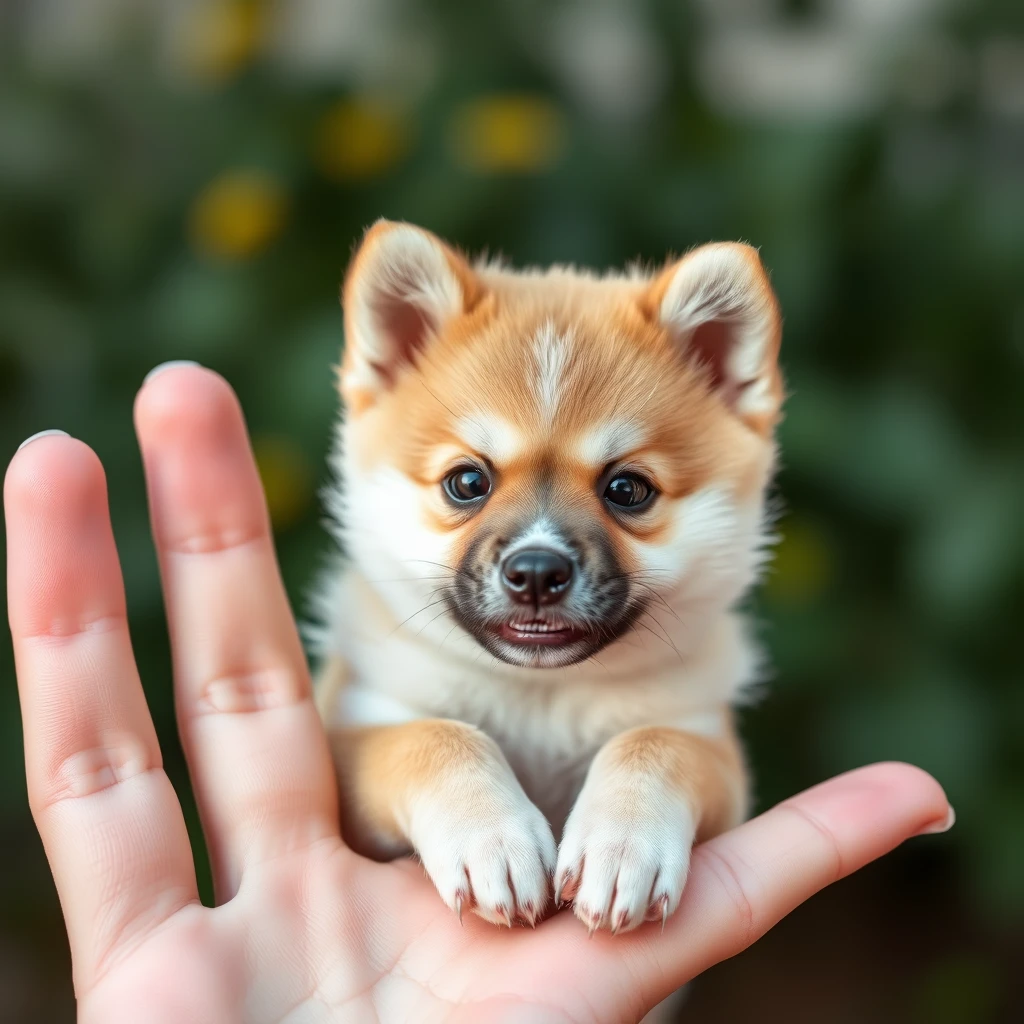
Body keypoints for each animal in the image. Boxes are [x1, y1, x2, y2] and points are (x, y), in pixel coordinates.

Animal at [311, 222, 782, 937]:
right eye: (467, 482)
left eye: (627, 490)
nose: (536, 571)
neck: (539, 699)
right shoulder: (354, 728)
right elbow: (439, 737)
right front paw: (491, 837)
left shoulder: (712, 748)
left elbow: (653, 743)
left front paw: (623, 842)